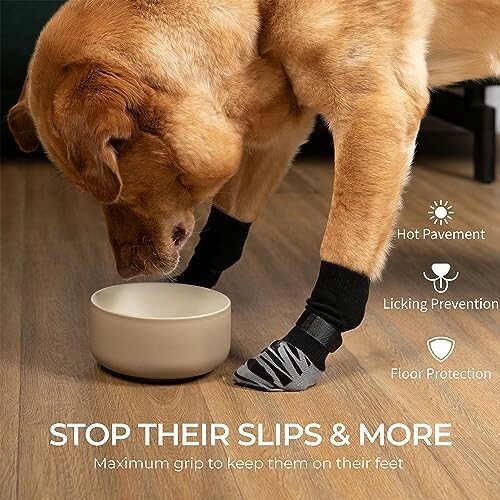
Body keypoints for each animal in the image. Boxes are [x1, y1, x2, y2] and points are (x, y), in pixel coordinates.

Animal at [8, 0, 500, 390]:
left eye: (111, 193)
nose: (128, 273)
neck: (263, 12)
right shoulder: (278, 128)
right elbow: (226, 232)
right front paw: (190, 291)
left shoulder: (375, 106)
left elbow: (345, 249)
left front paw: (303, 346)